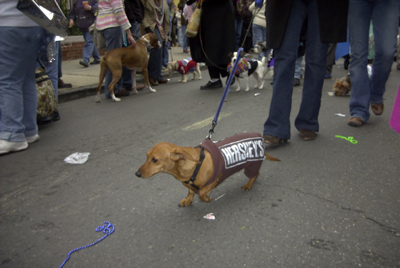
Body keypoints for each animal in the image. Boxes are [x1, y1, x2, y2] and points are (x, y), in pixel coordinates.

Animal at [136, 133, 280, 206]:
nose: (137, 174)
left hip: (252, 165)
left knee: (255, 174)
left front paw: (206, 199)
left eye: (155, 160)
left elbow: (202, 192)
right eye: (146, 156)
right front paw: (188, 199)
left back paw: (248, 185)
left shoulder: (215, 179)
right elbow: (190, 191)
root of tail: (259, 137)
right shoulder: (189, 185)